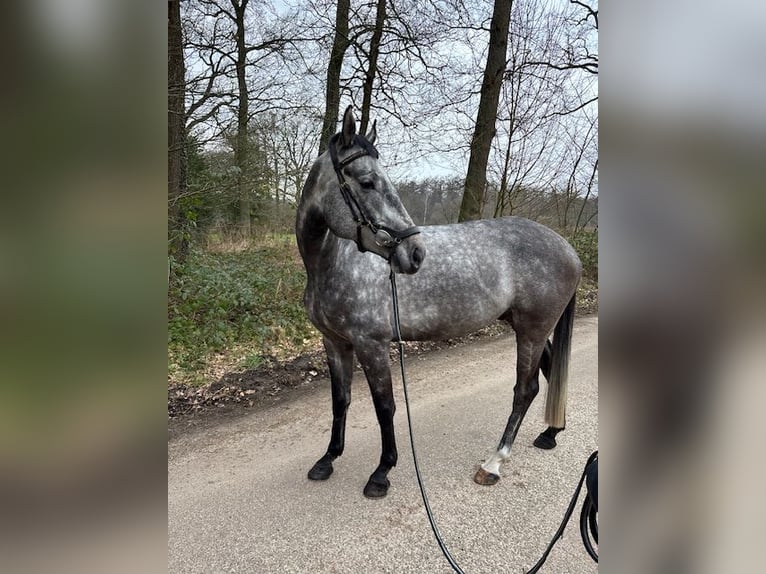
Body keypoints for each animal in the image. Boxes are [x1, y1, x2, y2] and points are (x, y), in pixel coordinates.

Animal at [296, 107, 584, 500]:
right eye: (368, 182)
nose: (415, 253)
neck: (333, 262)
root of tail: (568, 249)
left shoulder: (371, 345)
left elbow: (384, 406)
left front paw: (382, 472)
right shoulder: (335, 343)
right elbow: (340, 401)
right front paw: (328, 460)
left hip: (532, 329)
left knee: (526, 390)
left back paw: (494, 463)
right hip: (525, 325)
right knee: (551, 370)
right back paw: (550, 433)